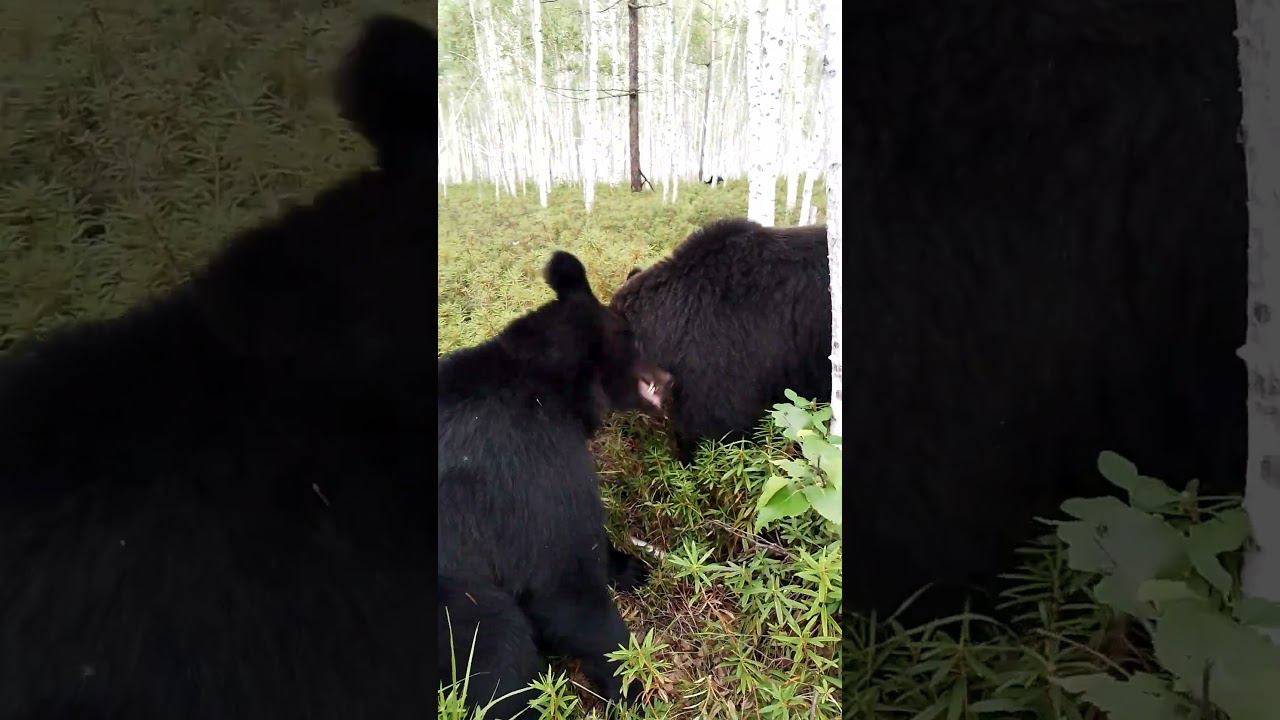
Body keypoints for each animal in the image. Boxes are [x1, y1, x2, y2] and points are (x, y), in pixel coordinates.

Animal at [437, 250, 672, 718]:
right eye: (637, 340)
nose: (671, 379)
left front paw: (629, 565)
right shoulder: (528, 466)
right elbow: (564, 583)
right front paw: (634, 686)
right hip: (454, 604)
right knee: (498, 653)